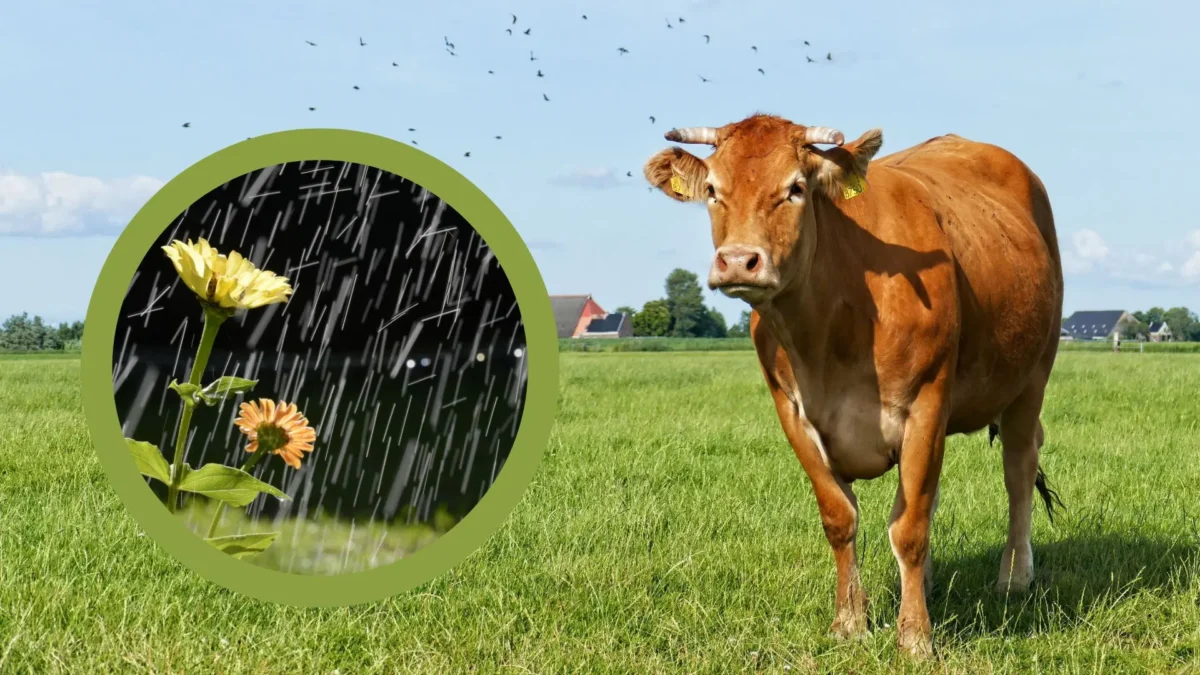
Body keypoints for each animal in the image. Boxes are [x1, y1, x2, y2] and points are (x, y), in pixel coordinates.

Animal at [643, 113, 1064, 656]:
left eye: (795, 188)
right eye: (714, 190)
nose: (738, 261)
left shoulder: (926, 402)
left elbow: (909, 529)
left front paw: (915, 637)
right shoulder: (793, 413)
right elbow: (842, 518)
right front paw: (849, 622)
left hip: (1032, 377)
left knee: (1018, 469)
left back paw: (1014, 576)